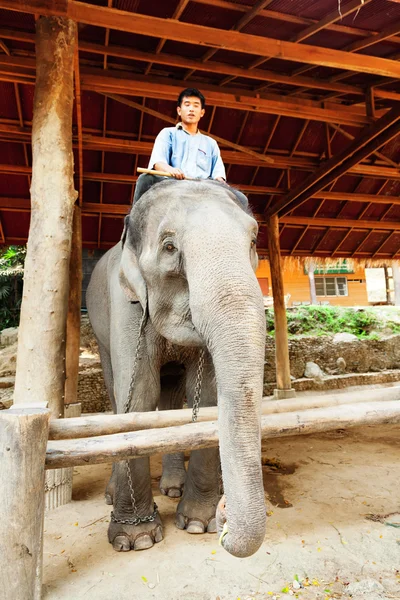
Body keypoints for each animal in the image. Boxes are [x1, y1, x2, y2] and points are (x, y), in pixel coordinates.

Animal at [88, 178, 268, 556]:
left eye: (253, 240)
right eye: (169, 247)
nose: (226, 512)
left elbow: (211, 396)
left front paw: (200, 524)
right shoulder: (126, 304)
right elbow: (138, 398)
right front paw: (136, 539)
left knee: (170, 395)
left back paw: (173, 487)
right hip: (99, 333)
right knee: (116, 393)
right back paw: (113, 494)